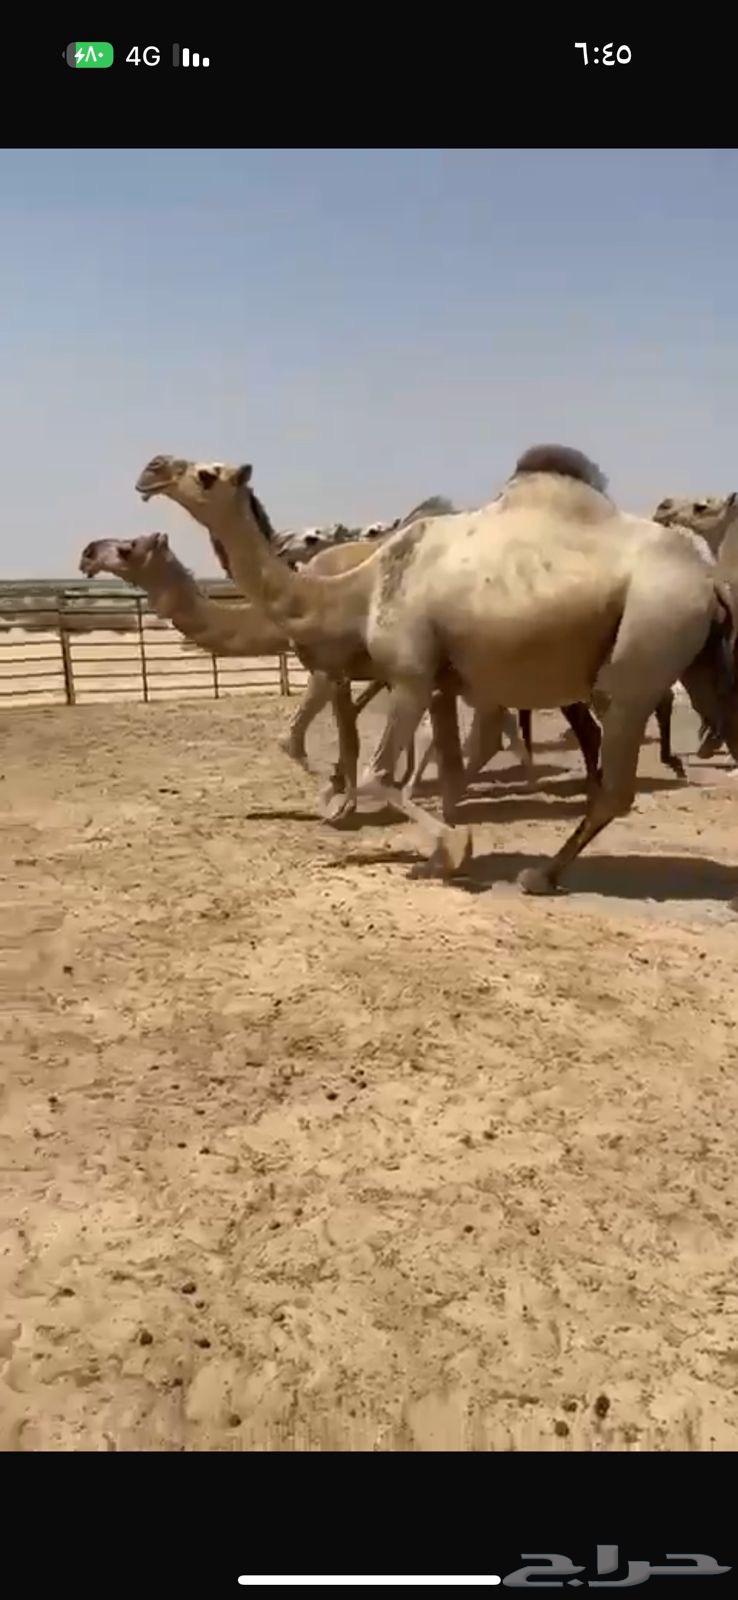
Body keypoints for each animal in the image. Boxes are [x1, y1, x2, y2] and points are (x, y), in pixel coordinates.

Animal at [134, 445, 738, 895]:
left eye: (206, 474)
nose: (152, 468)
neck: (356, 591)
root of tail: (710, 582)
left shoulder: (411, 672)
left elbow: (380, 773)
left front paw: (448, 850)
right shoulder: (444, 680)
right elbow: (446, 763)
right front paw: (442, 843)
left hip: (642, 647)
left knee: (616, 782)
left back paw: (540, 873)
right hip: (702, 664)